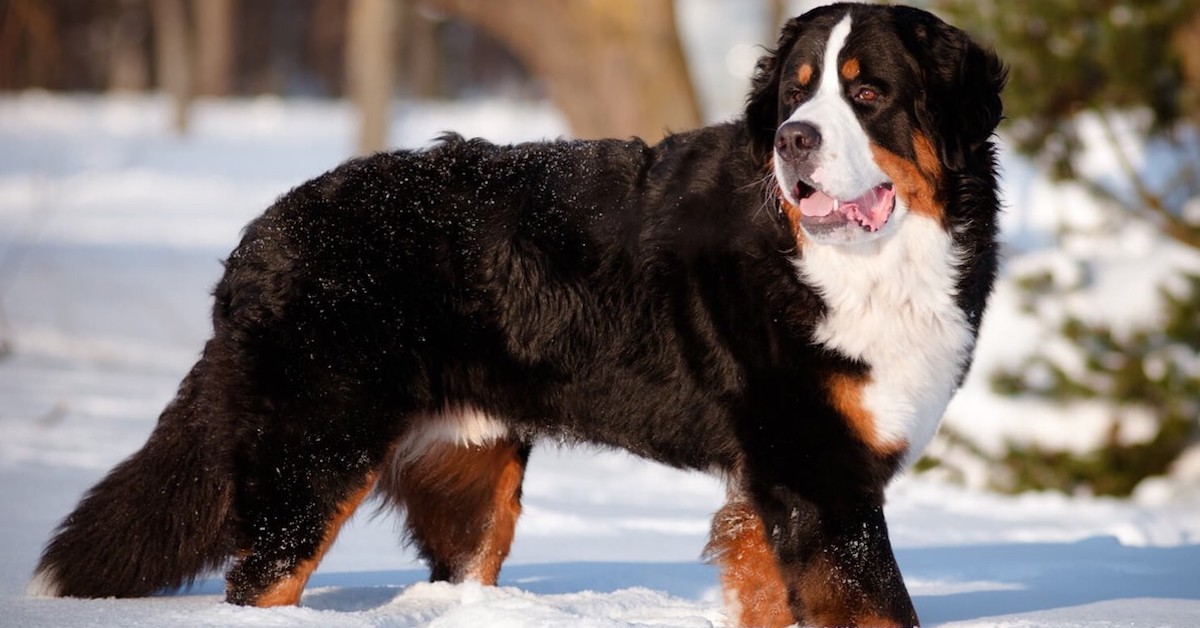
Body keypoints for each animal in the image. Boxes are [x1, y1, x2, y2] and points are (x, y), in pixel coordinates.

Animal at [28, 2, 1003, 624]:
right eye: (797, 95)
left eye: (868, 93)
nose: (793, 141)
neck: (870, 267)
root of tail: (264, 229)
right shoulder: (819, 475)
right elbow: (881, 609)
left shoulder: (786, 486)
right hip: (313, 457)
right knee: (260, 581)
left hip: (469, 481)